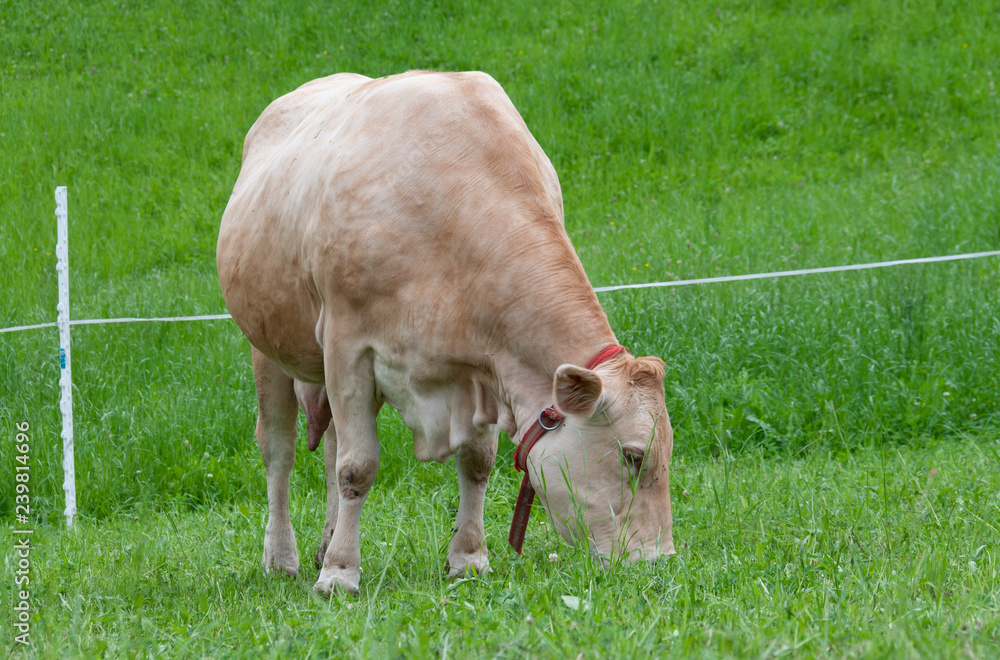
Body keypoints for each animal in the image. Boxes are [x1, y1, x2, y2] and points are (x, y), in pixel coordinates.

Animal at [216, 71, 676, 592]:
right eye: (633, 456)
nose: (658, 560)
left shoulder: (482, 368)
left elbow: (475, 463)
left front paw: (468, 558)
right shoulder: (347, 347)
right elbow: (358, 466)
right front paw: (340, 573)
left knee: (330, 445)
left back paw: (326, 541)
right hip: (267, 345)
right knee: (279, 450)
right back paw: (282, 557)